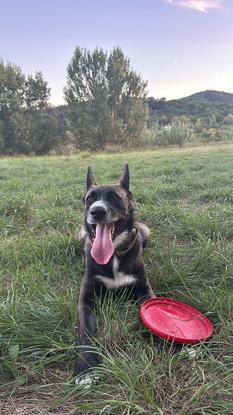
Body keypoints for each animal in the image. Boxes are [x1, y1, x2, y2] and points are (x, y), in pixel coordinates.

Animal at [75, 164, 155, 386]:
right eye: (90, 198)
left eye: (115, 197)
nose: (97, 211)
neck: (114, 255)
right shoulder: (86, 299)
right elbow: (86, 331)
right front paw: (86, 367)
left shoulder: (144, 289)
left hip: (145, 232)